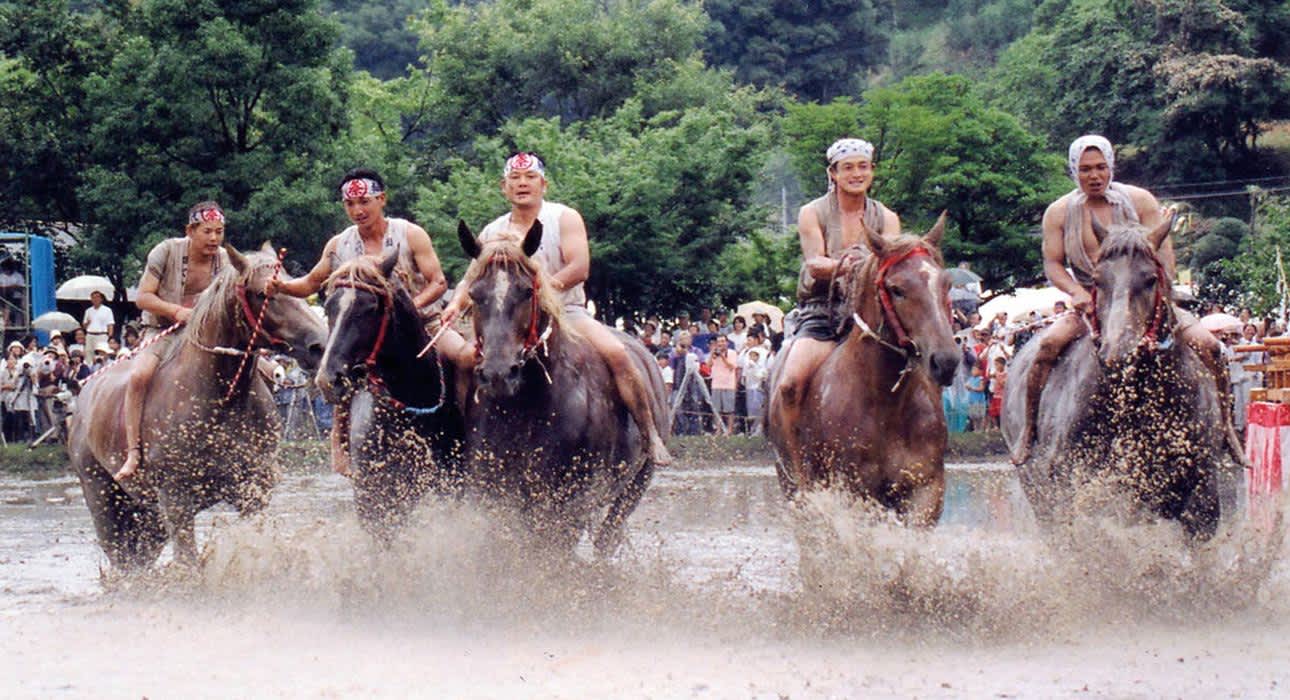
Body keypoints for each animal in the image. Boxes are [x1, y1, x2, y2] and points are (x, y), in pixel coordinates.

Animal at [66, 244, 330, 569]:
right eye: (261, 293)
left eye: (293, 284)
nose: (320, 345)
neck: (220, 400)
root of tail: (82, 398)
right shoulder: (176, 498)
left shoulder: (254, 490)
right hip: (102, 499)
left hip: (147, 515)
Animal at [454, 221, 665, 556]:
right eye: (474, 294)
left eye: (526, 291)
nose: (498, 374)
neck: (525, 409)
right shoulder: (494, 493)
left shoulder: (568, 502)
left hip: (633, 488)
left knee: (606, 538)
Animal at [763, 216, 959, 528]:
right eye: (896, 288)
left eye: (945, 283)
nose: (946, 360)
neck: (887, 405)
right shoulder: (857, 494)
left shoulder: (925, 490)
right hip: (795, 487)